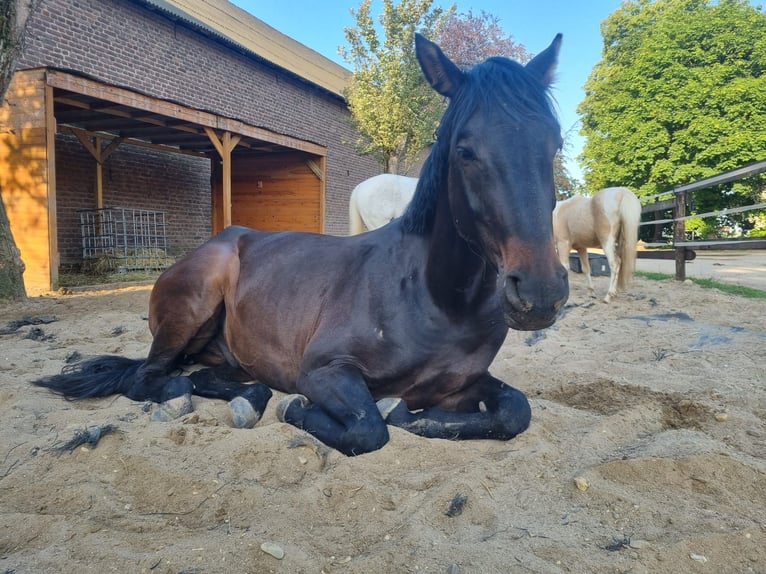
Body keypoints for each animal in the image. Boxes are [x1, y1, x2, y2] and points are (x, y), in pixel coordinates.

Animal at [31, 33, 568, 456]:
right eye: (464, 149)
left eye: (555, 143)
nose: (540, 292)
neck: (435, 299)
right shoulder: (323, 371)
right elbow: (370, 428)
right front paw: (302, 410)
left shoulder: (464, 383)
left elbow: (515, 411)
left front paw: (415, 416)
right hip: (190, 309)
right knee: (151, 378)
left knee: (206, 376)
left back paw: (247, 397)